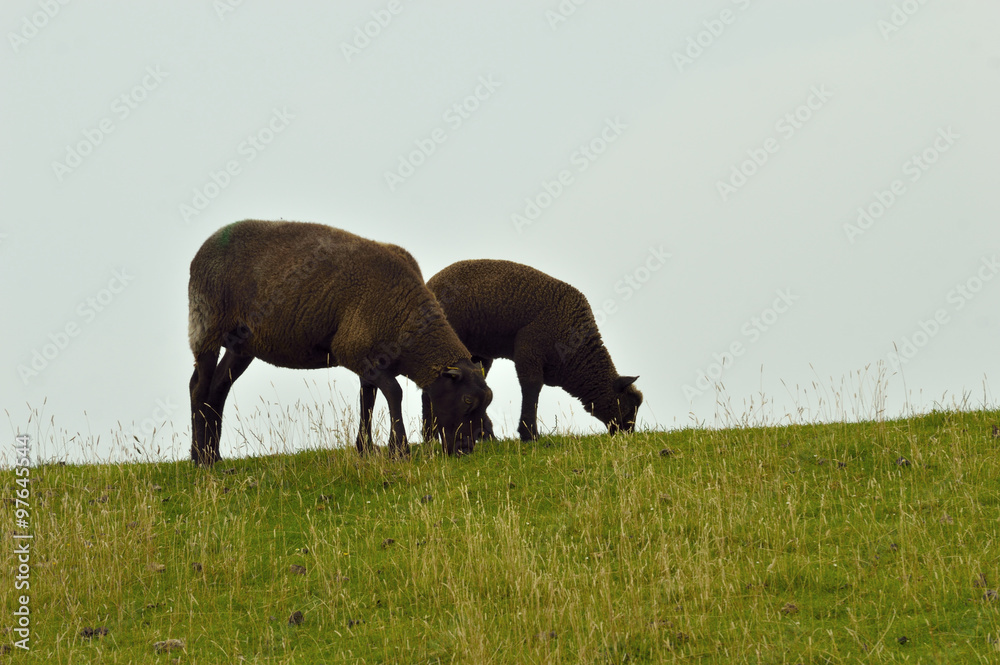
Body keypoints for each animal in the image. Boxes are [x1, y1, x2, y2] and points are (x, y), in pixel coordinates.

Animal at [187, 220, 492, 465]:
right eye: (466, 400)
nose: (465, 449)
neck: (404, 314)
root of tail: (203, 248)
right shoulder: (353, 350)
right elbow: (394, 393)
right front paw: (399, 450)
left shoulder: (371, 357)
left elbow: (367, 399)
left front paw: (365, 449)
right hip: (206, 321)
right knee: (199, 387)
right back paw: (201, 459)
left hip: (241, 343)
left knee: (218, 387)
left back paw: (213, 455)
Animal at [422, 259, 642, 441]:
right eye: (629, 405)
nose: (628, 435)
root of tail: (431, 283)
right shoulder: (529, 350)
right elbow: (532, 386)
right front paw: (530, 434)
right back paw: (433, 437)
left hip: (477, 353)